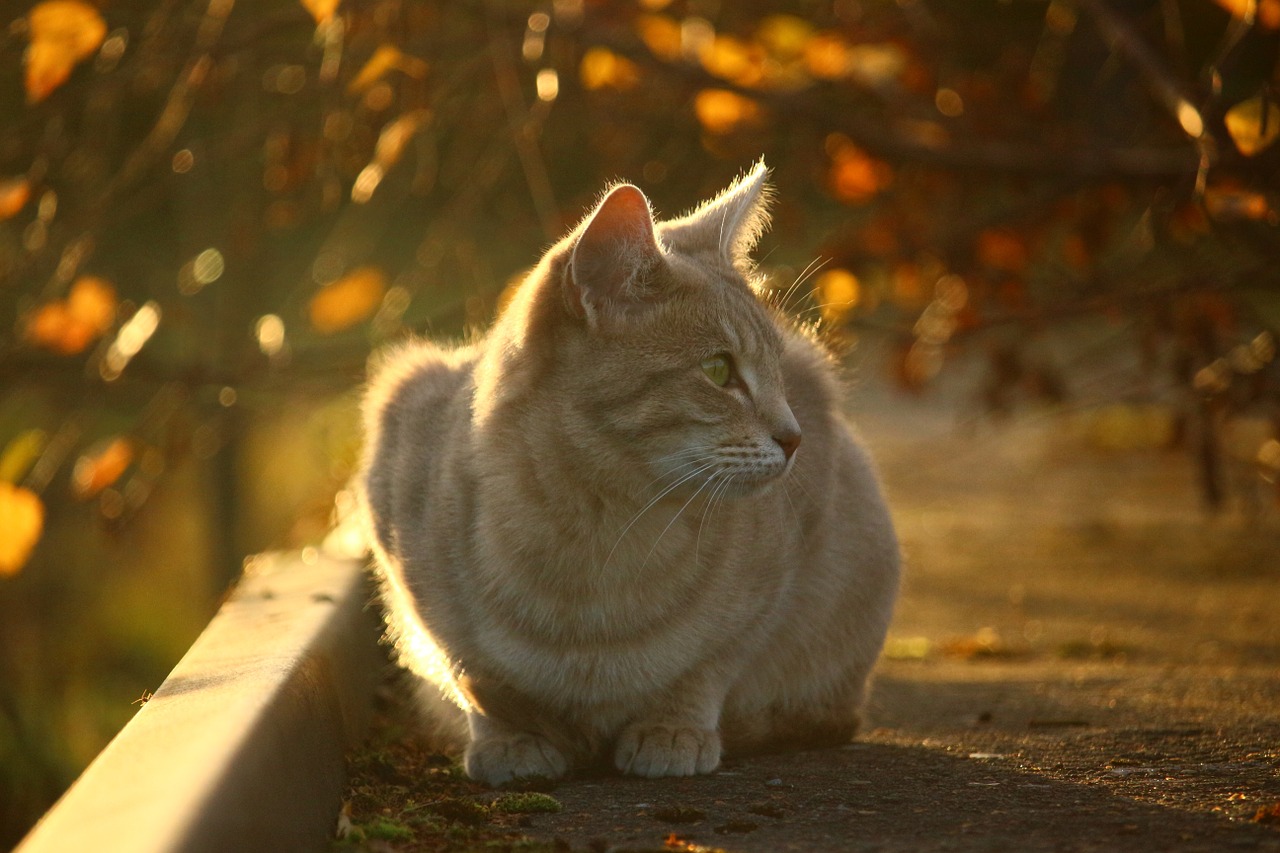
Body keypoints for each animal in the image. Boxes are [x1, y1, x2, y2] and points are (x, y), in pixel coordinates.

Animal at [355, 162, 901, 778]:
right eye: (719, 370)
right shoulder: (397, 461)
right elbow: (474, 675)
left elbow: (708, 665)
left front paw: (672, 729)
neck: (595, 537)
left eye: (779, 374)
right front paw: (514, 740)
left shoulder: (778, 572)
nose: (794, 438)